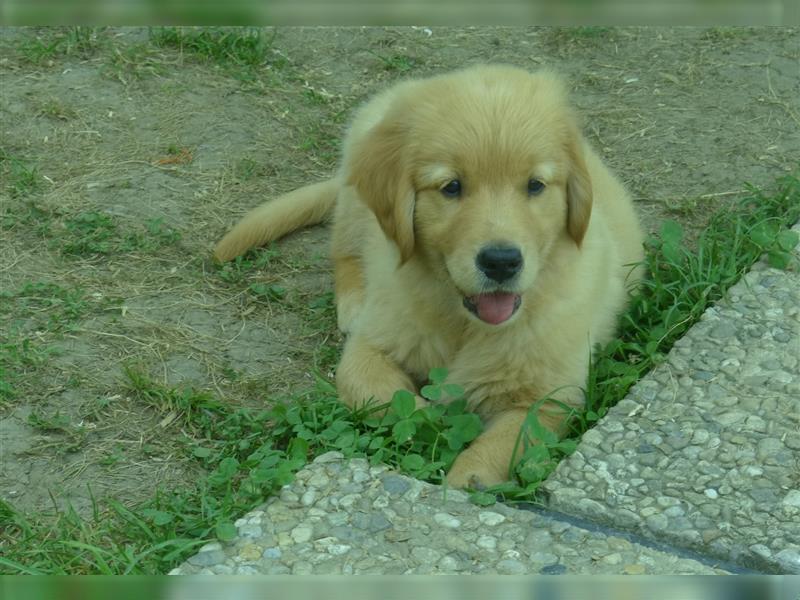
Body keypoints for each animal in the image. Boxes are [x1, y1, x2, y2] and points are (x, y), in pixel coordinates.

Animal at [212, 64, 644, 488]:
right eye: (451, 187)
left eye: (535, 185)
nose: (501, 261)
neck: (463, 322)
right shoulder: (371, 344)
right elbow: (380, 393)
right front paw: (424, 416)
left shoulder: (550, 395)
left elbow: (508, 440)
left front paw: (467, 480)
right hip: (356, 196)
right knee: (344, 249)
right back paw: (353, 300)